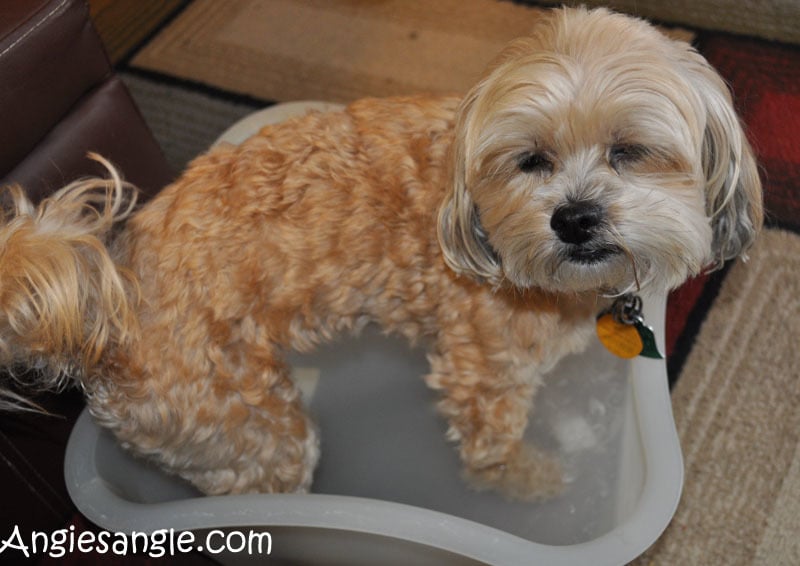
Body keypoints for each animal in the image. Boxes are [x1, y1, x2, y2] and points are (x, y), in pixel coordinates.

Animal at [0, 7, 764, 502]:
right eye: (531, 160)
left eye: (629, 150)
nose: (573, 219)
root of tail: (108, 296)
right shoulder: (482, 372)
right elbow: (493, 449)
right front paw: (530, 480)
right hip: (246, 432)